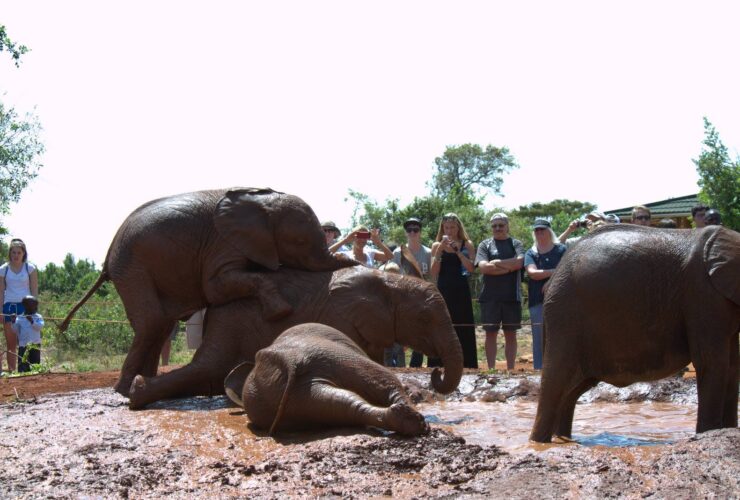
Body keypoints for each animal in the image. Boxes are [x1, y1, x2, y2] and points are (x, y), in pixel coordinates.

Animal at [60, 188, 356, 395]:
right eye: (300, 241)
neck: (261, 203)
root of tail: (108, 256)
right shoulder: (223, 244)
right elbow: (216, 289)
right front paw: (280, 312)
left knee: (160, 325)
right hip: (132, 267)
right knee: (152, 323)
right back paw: (123, 391)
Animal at [126, 265, 464, 408]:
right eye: (424, 319)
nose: (436, 372)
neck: (391, 280)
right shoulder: (340, 315)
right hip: (232, 322)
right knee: (208, 368)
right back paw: (137, 392)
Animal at [530, 225, 740, 443]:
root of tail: (554, 276)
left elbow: (732, 366)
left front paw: (728, 430)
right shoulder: (703, 294)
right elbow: (711, 362)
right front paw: (709, 434)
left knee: (572, 389)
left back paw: (563, 439)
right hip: (566, 316)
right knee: (556, 380)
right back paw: (539, 442)